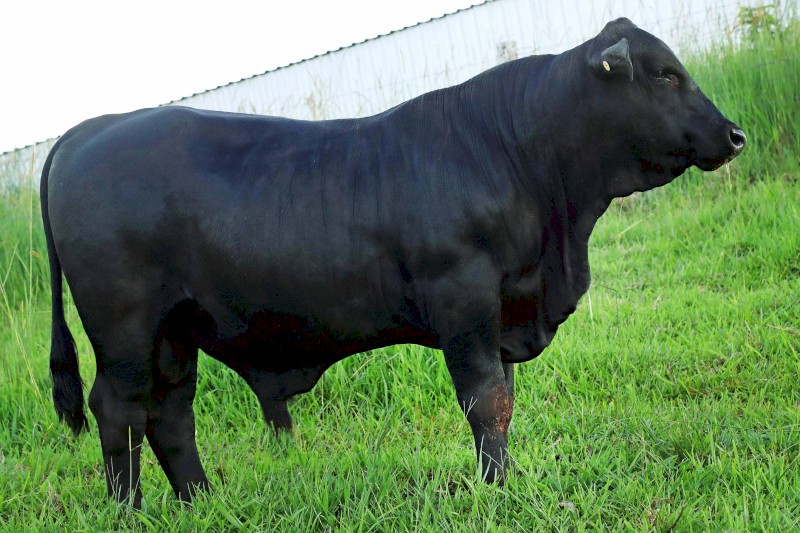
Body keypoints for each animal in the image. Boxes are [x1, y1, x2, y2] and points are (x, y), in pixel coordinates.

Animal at [42, 18, 744, 507]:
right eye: (664, 74)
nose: (735, 134)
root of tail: (91, 129)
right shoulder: (464, 298)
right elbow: (485, 401)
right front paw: (498, 492)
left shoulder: (498, 311)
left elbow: (504, 402)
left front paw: (503, 482)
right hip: (126, 330)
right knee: (121, 414)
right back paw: (132, 511)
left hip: (174, 332)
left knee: (171, 415)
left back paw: (202, 503)